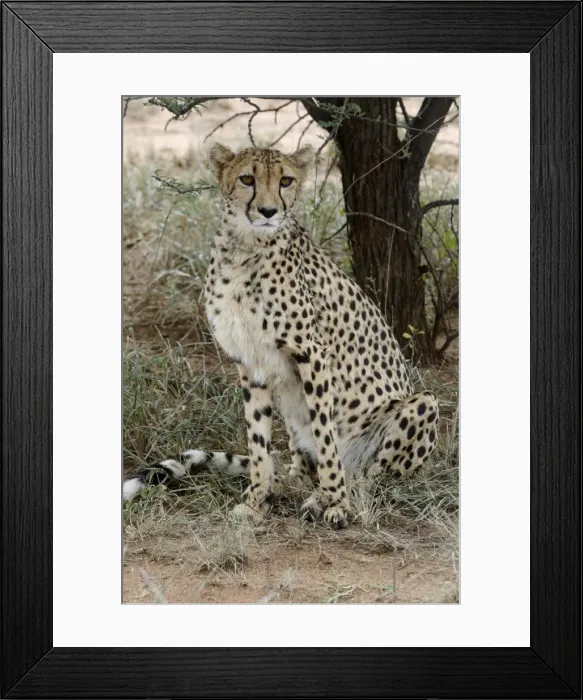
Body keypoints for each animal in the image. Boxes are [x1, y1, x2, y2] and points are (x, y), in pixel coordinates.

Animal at [123, 143, 439, 529]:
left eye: (286, 181)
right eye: (247, 179)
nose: (269, 211)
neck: (246, 247)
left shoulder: (312, 355)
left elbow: (325, 434)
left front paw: (336, 503)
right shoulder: (250, 361)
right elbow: (257, 438)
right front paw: (257, 500)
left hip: (423, 405)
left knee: (368, 476)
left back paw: (330, 493)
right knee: (301, 464)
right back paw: (294, 482)